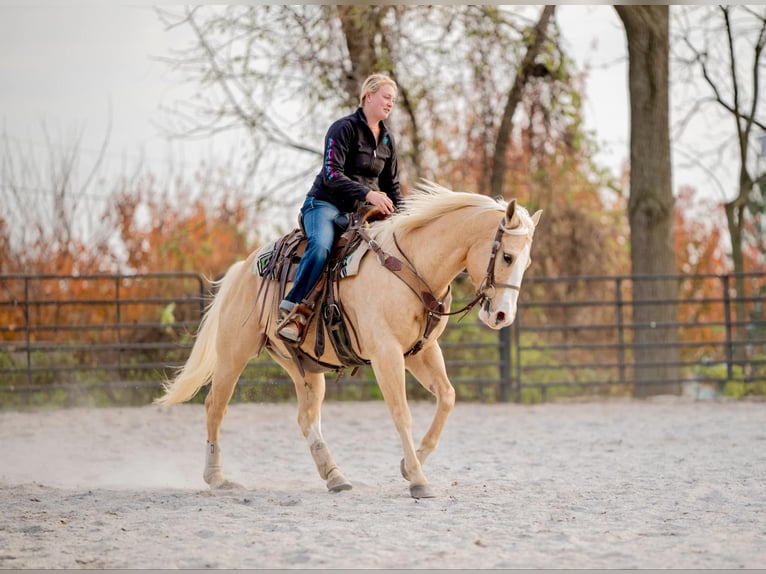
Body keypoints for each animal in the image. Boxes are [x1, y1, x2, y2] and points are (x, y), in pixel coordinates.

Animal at [156, 183, 544, 500]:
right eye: (506, 256)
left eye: (526, 262)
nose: (502, 316)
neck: (411, 265)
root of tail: (242, 268)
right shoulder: (387, 353)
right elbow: (401, 413)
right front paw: (418, 480)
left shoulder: (420, 352)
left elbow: (446, 397)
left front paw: (409, 466)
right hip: (233, 354)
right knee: (215, 407)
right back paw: (217, 478)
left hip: (303, 366)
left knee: (306, 417)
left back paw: (335, 476)